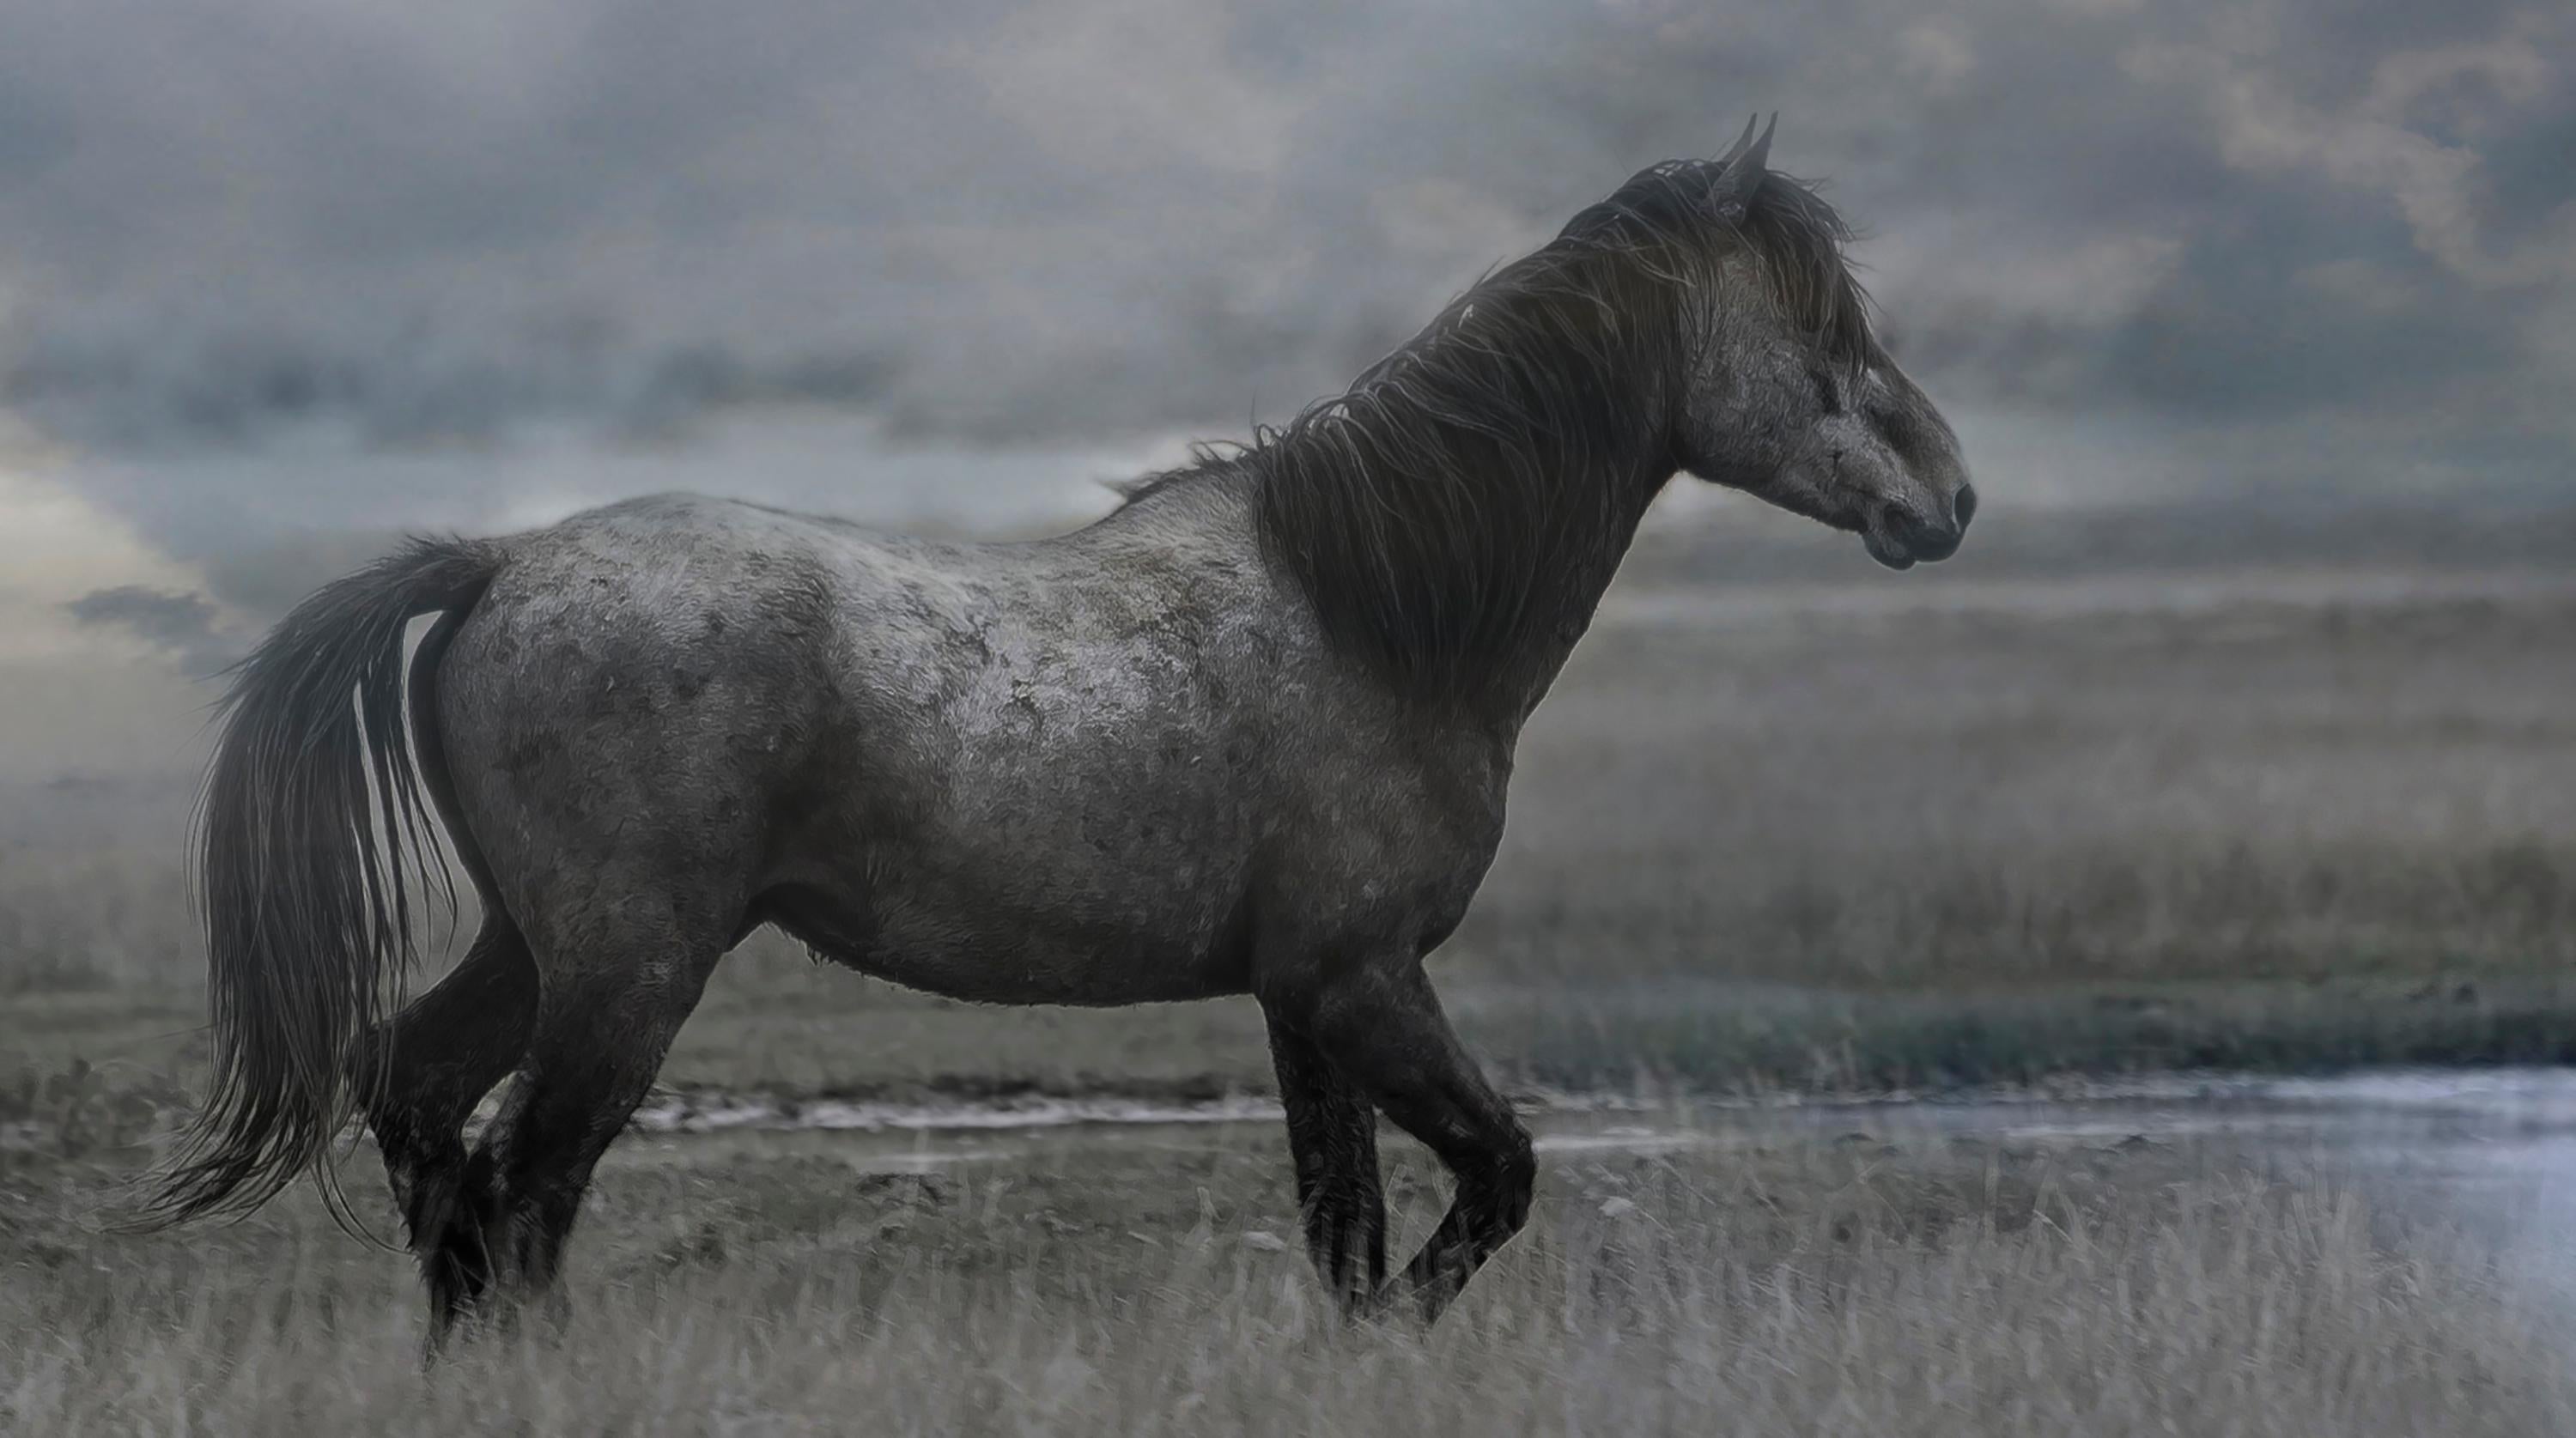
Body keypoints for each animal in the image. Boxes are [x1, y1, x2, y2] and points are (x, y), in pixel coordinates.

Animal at [136, 118, 1968, 1350]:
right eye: (1821, 330)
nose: (1946, 499)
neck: (1377, 611)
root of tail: (499, 565)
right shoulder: (1364, 982)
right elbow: (1495, 1181)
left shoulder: (1304, 1004)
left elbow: (1344, 1230)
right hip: (624, 977)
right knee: (522, 1196)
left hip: (539, 952)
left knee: (425, 1115)